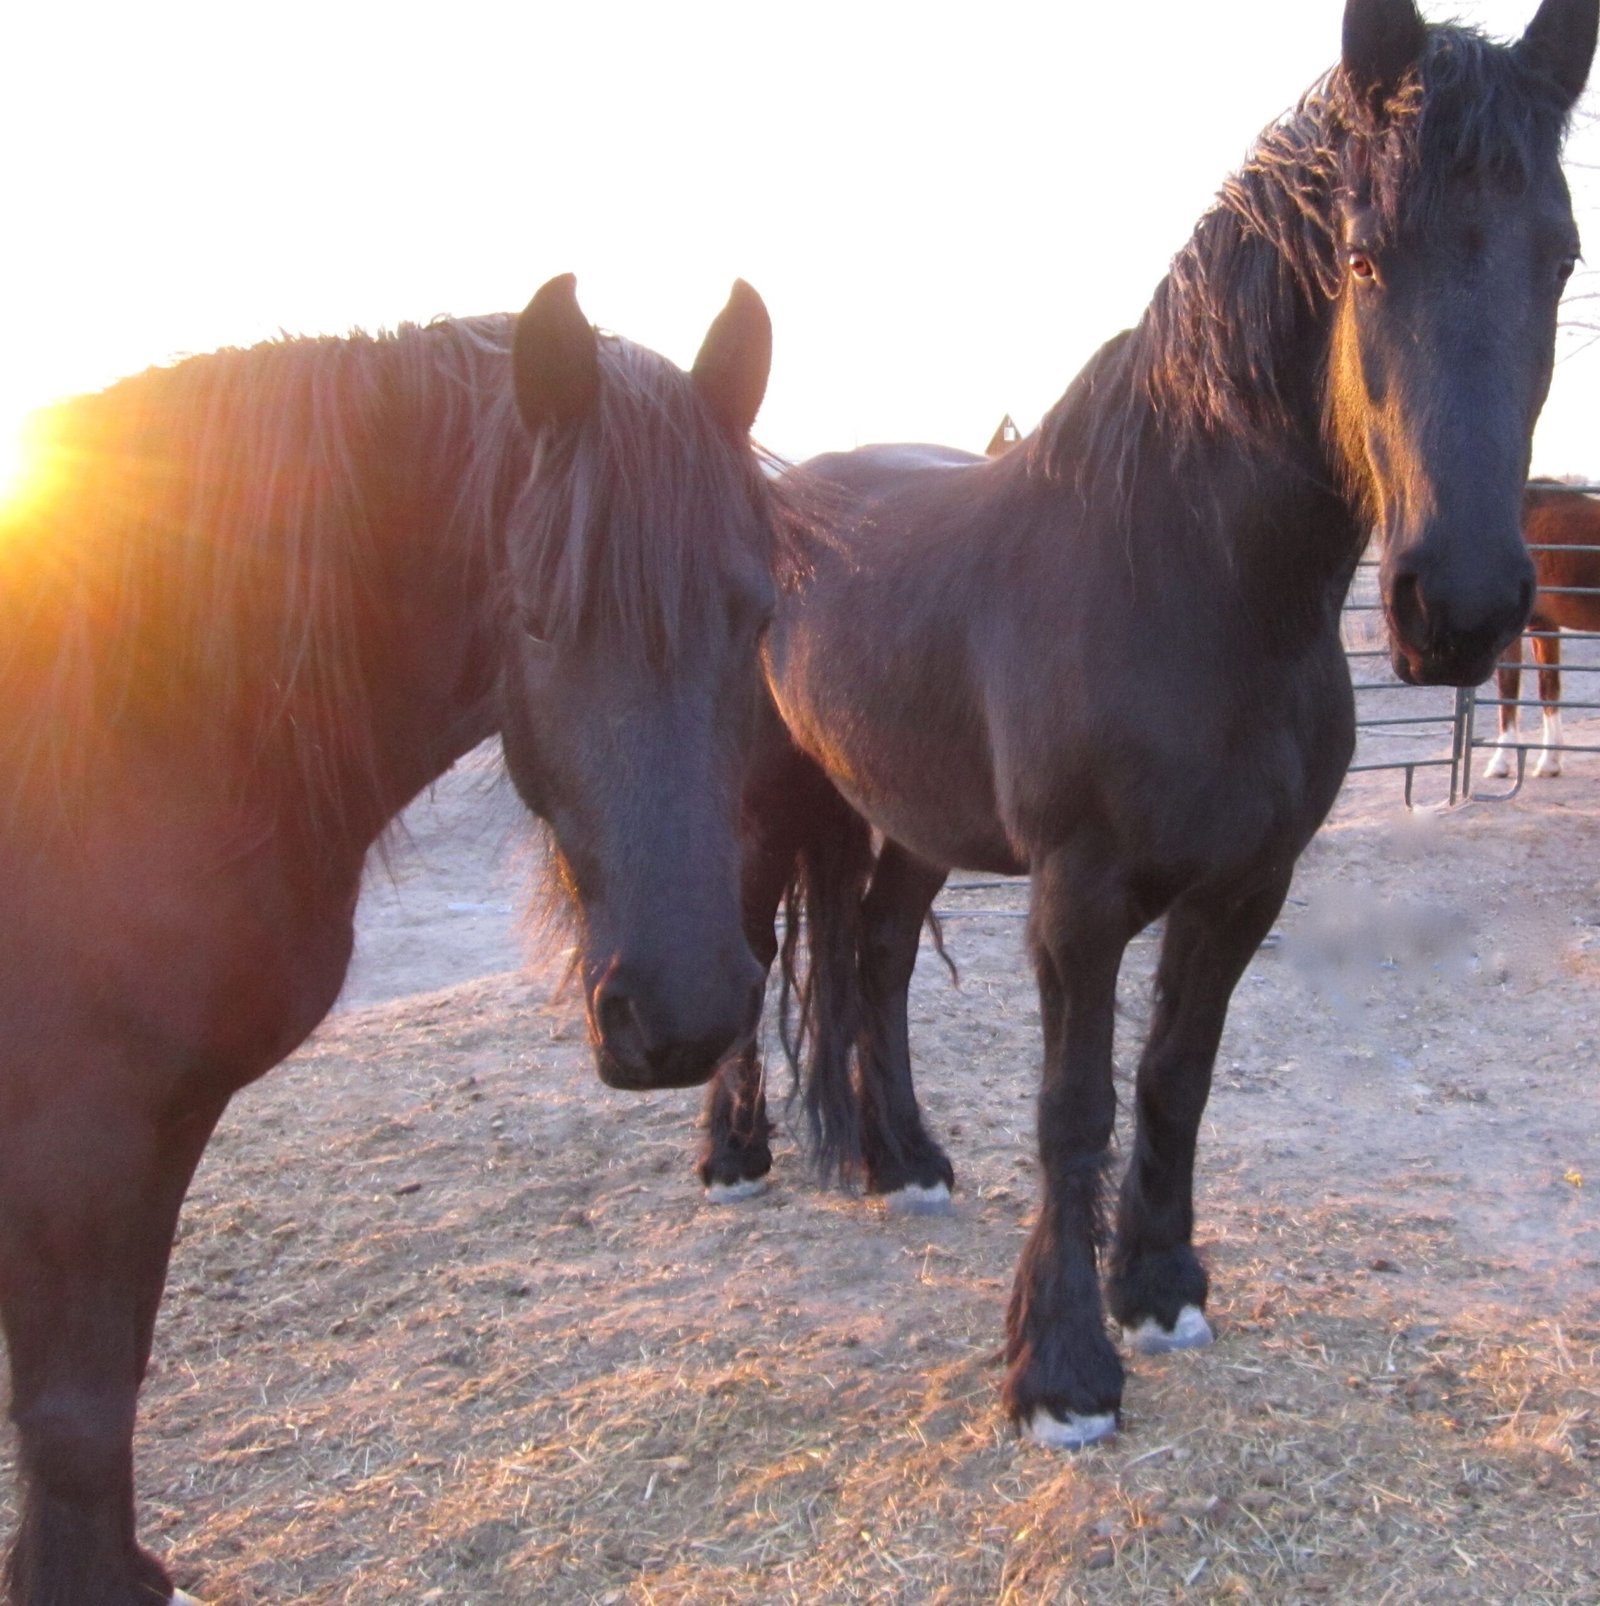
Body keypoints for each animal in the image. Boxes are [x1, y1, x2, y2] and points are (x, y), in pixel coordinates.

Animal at [0, 276, 780, 1606]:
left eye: (755, 611)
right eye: (535, 616)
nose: (681, 1017)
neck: (133, 739)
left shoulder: (157, 1122)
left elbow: (114, 1373)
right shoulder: (74, 1134)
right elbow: (74, 1409)